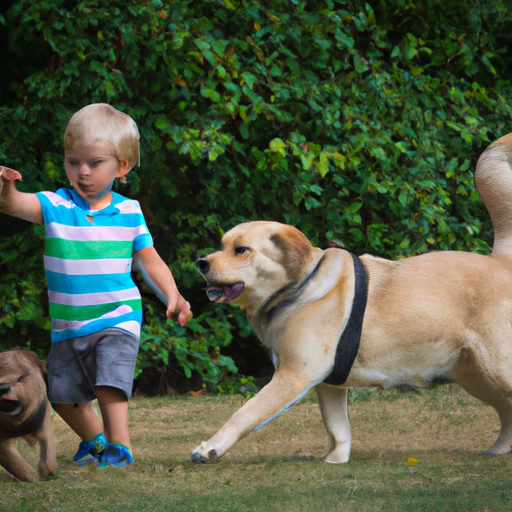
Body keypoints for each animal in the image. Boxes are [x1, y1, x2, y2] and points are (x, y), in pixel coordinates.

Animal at [193, 133, 512, 464]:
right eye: (222, 245)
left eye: (241, 250)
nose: (201, 262)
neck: (299, 287)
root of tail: (501, 260)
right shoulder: (329, 384)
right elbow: (337, 428)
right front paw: (336, 459)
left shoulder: (294, 375)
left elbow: (245, 413)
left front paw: (209, 447)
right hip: (475, 375)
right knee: (507, 411)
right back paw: (499, 449)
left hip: (498, 367)